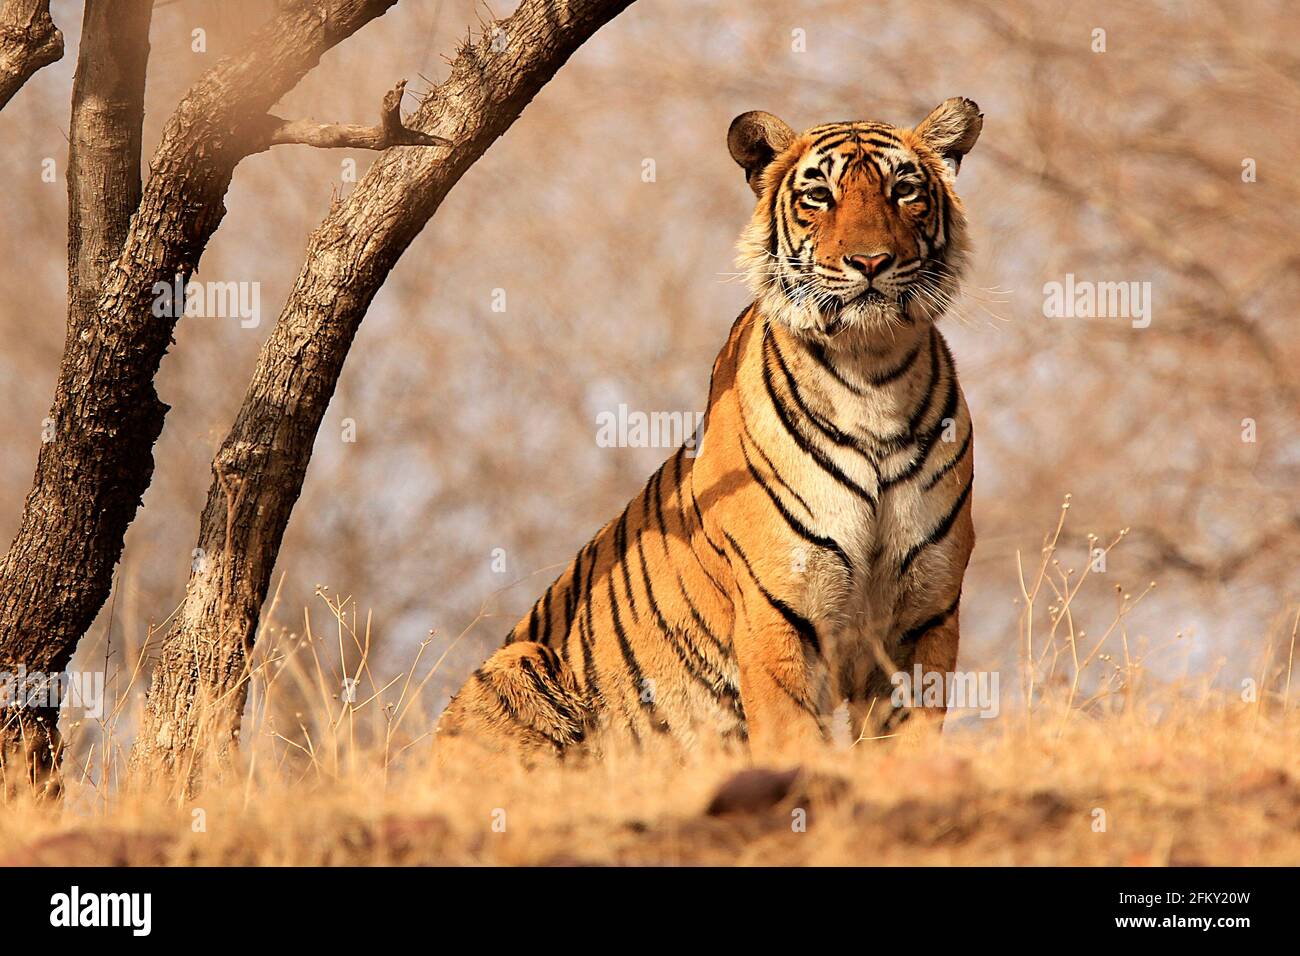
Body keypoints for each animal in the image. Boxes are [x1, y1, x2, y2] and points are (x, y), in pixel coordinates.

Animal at [436, 98, 982, 765]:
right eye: (819, 195)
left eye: (904, 191)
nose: (870, 262)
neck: (871, 372)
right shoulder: (779, 605)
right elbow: (792, 734)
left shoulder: (925, 615)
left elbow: (908, 742)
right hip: (517, 661)